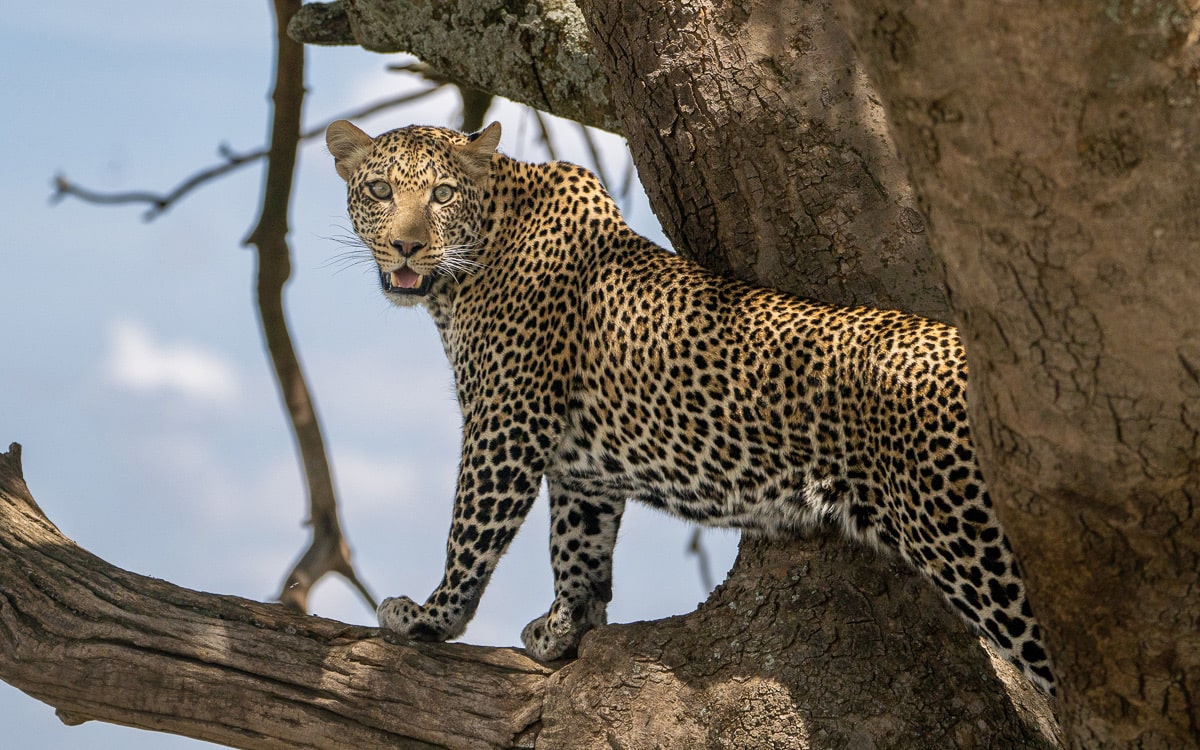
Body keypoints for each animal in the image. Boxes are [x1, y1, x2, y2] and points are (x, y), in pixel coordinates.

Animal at [326, 118, 1057, 695]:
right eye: (380, 190)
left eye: (443, 194)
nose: (408, 245)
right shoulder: (580, 464)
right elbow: (578, 544)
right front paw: (567, 626)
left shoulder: (505, 423)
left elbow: (471, 533)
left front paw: (432, 617)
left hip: (977, 546)